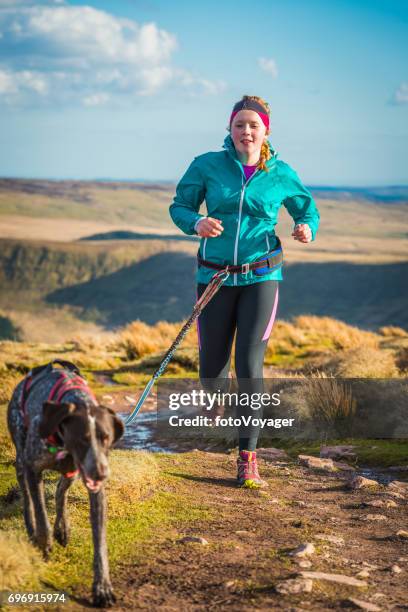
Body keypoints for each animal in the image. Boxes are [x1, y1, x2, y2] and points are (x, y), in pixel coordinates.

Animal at [7, 360, 124, 604]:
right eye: (82, 439)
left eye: (106, 438)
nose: (101, 474)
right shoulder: (33, 469)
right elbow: (41, 515)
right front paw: (44, 545)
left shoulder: (95, 491)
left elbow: (100, 541)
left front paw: (102, 587)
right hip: (22, 461)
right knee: (28, 500)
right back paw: (32, 529)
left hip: (72, 473)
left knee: (61, 492)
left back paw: (62, 528)